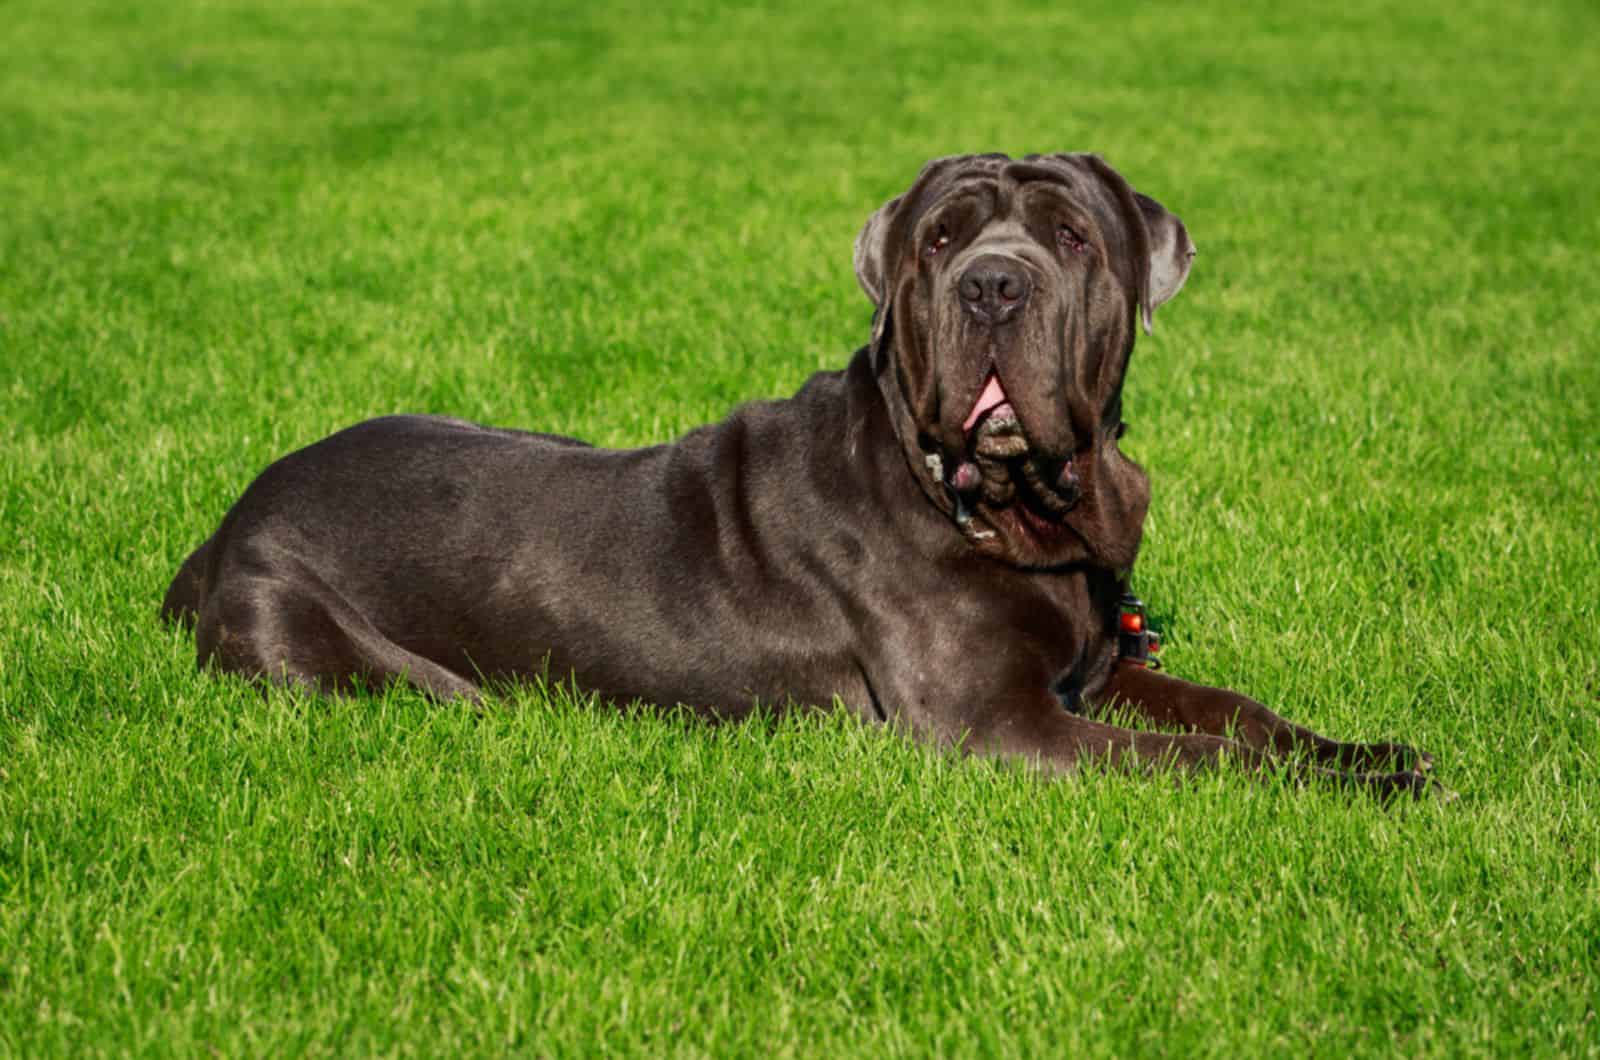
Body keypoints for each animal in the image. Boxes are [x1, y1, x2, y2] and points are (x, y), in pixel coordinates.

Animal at [168, 153, 1446, 800]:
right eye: (943, 238)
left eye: (1072, 237)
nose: (994, 285)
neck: (1002, 509)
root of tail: (223, 525)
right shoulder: (998, 724)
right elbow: (1197, 761)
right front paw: (1355, 790)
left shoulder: (1099, 672)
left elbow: (1239, 717)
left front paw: (1368, 756)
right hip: (330, 652)